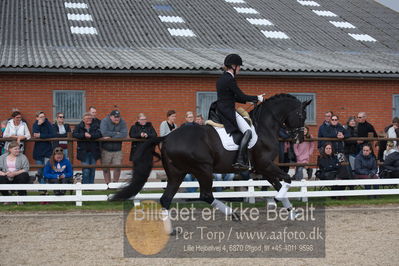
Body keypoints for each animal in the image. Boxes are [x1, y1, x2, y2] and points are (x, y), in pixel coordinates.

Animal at [112, 94, 312, 230]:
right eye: (301, 115)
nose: (300, 138)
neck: (263, 126)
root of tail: (166, 138)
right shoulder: (266, 165)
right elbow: (287, 180)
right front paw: (276, 201)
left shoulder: (264, 168)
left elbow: (280, 184)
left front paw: (292, 212)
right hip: (203, 169)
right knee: (206, 195)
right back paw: (233, 214)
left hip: (177, 173)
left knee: (166, 199)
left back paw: (171, 230)